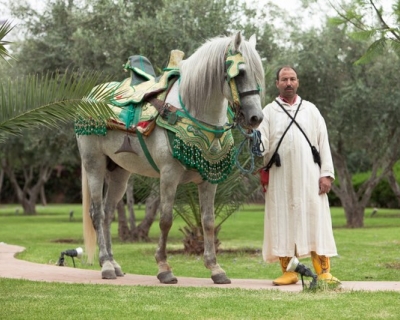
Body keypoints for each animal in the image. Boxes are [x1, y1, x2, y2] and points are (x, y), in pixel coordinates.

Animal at [77, 31, 266, 284]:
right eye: (241, 72)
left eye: (259, 74)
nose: (256, 117)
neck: (190, 111)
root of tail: (88, 98)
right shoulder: (169, 175)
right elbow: (165, 219)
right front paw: (164, 268)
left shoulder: (209, 180)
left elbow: (208, 221)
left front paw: (215, 268)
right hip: (94, 164)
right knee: (97, 213)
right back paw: (106, 264)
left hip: (119, 173)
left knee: (107, 214)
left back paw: (114, 264)